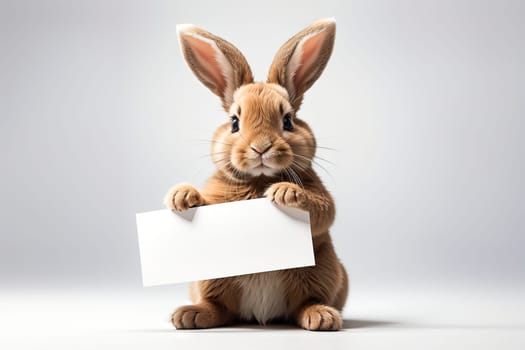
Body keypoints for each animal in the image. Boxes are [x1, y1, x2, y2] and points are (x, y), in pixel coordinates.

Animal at [164, 18, 348, 330]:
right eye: (234, 123)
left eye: (288, 120)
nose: (261, 147)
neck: (261, 178)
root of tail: (260, 315)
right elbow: (202, 199)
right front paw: (181, 196)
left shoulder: (320, 196)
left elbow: (323, 210)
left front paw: (285, 192)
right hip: (211, 279)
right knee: (219, 308)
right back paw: (190, 315)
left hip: (322, 271)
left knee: (303, 304)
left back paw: (321, 316)